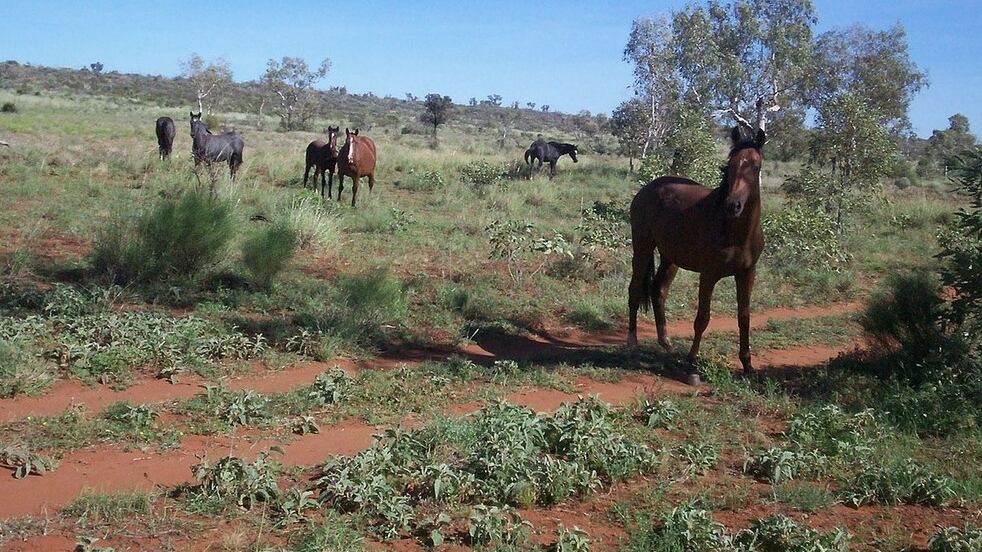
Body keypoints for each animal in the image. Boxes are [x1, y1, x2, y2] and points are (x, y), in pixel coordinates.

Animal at [627, 126, 767, 376]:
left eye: (755, 167)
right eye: (730, 165)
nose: (733, 205)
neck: (735, 231)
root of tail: (646, 189)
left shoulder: (747, 273)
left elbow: (744, 317)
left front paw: (747, 364)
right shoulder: (709, 275)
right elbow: (702, 317)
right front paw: (691, 360)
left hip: (670, 258)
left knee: (658, 291)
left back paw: (666, 342)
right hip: (642, 248)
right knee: (634, 290)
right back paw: (632, 342)